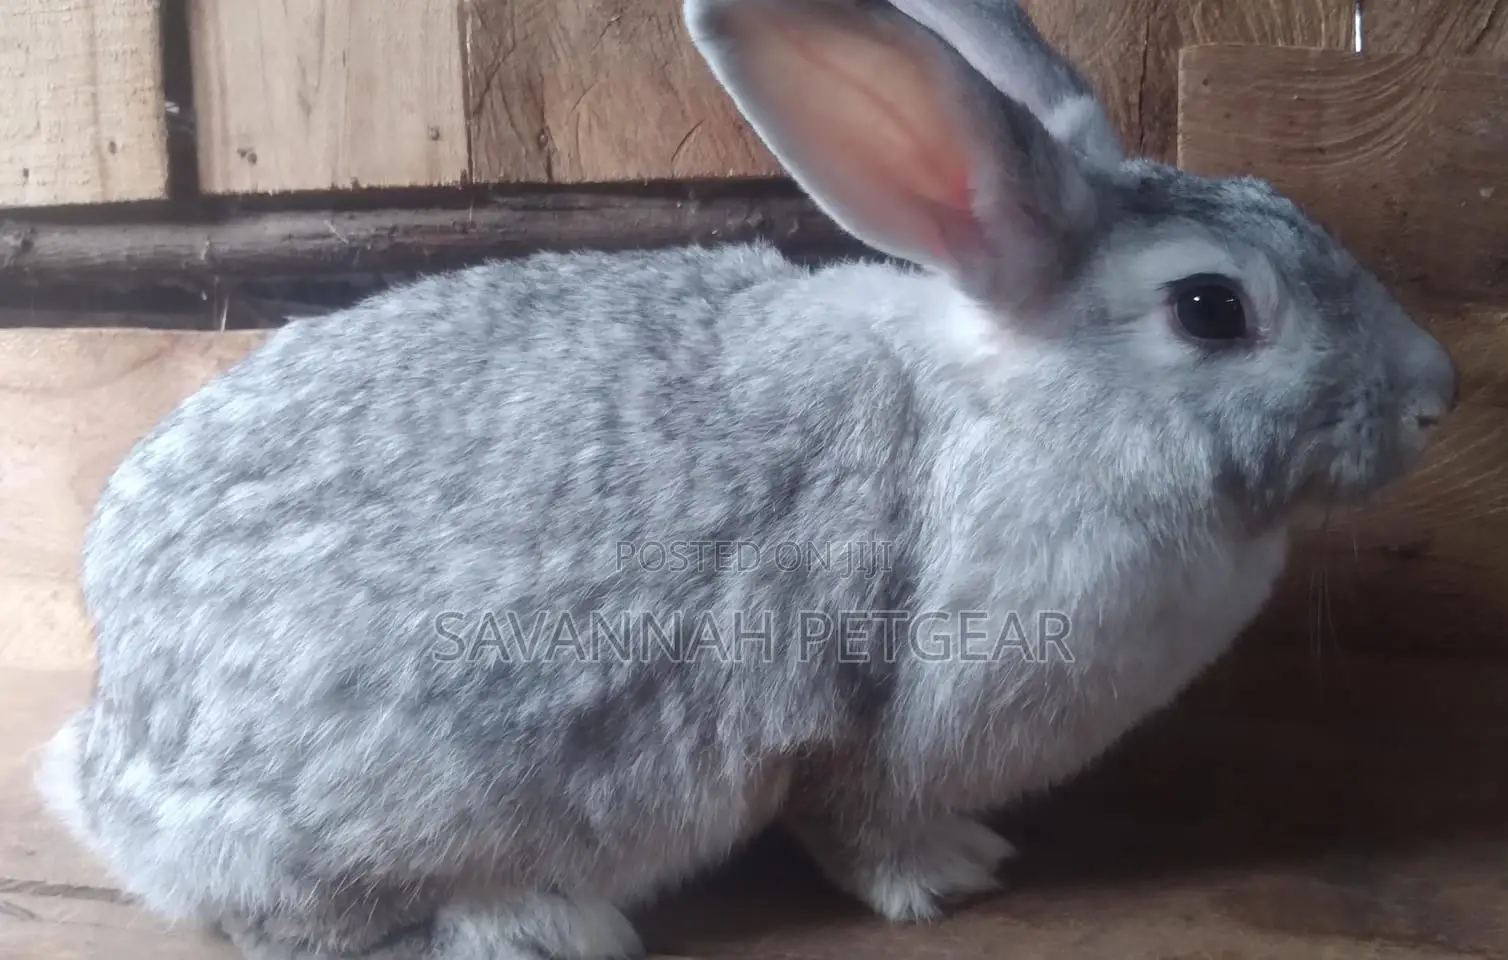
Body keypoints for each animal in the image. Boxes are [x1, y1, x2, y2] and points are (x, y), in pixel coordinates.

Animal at [34, 0, 1458, 957]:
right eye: (1211, 310)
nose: (1436, 395)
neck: (1016, 410)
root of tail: (111, 759)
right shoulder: (881, 723)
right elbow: (864, 826)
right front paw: (954, 877)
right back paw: (538, 926)